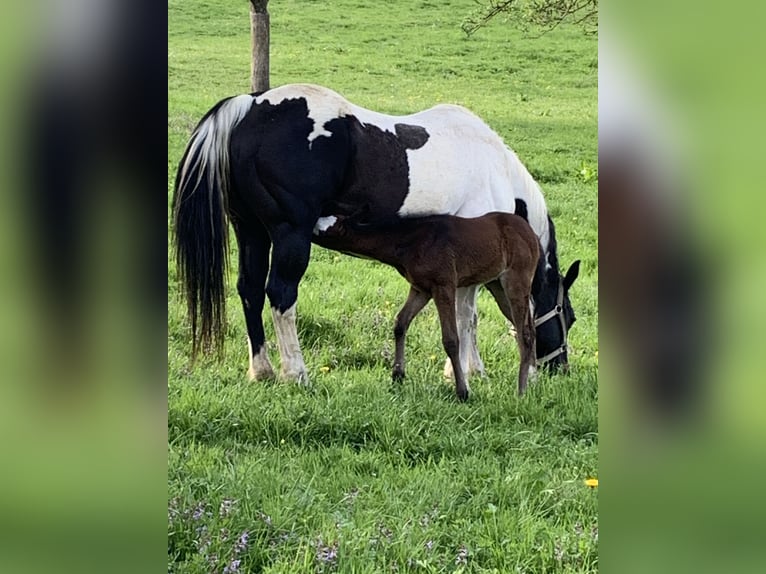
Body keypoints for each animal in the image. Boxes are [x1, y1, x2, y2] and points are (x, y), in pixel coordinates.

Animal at [313, 211, 542, 399]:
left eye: (324, 230)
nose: (308, 228)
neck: (411, 241)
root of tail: (531, 234)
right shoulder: (420, 288)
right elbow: (400, 323)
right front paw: (398, 375)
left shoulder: (444, 286)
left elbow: (451, 339)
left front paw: (462, 391)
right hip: (497, 285)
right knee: (526, 329)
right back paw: (532, 380)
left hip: (516, 281)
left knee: (525, 332)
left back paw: (521, 390)